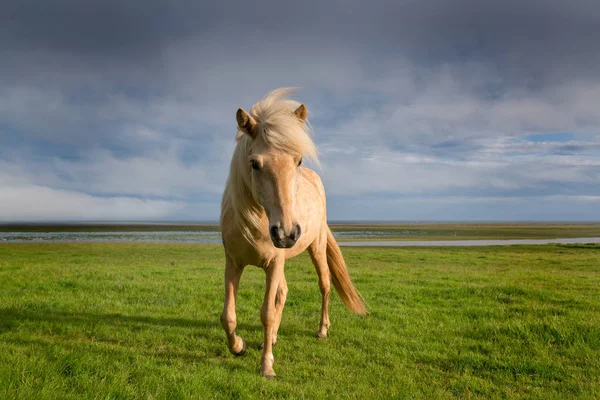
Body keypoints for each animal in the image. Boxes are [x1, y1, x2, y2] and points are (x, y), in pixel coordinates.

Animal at [218, 87, 364, 378]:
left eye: (298, 160)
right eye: (254, 163)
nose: (286, 233)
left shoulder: (273, 264)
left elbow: (267, 313)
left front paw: (266, 366)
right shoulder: (234, 263)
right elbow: (228, 315)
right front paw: (239, 346)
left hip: (316, 248)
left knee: (324, 284)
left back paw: (321, 330)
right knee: (283, 293)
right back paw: (271, 338)